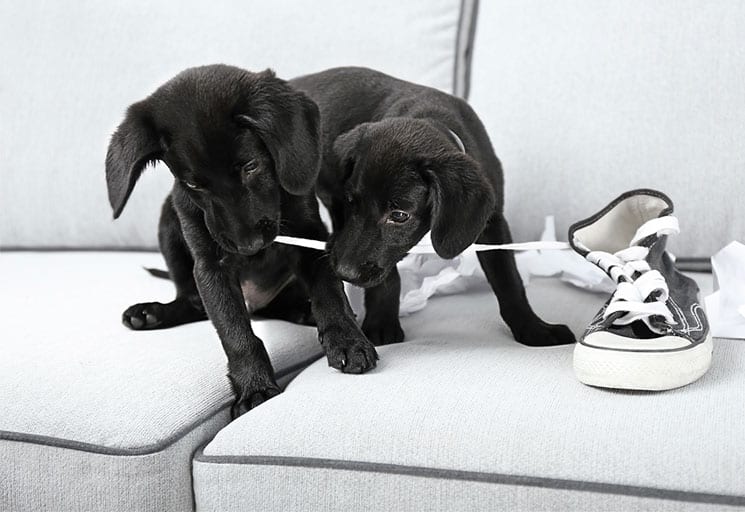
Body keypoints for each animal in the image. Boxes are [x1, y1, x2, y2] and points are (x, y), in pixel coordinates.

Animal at [107, 65, 374, 416]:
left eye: (250, 166)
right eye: (194, 184)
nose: (249, 246)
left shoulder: (311, 238)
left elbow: (329, 293)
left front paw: (347, 340)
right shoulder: (211, 265)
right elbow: (234, 331)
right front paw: (254, 387)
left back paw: (305, 312)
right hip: (168, 225)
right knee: (192, 301)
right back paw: (152, 313)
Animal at [292, 67, 576, 348]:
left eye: (399, 216)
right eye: (352, 202)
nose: (344, 272)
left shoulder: (492, 222)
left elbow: (508, 280)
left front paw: (533, 327)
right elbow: (388, 277)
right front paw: (381, 323)